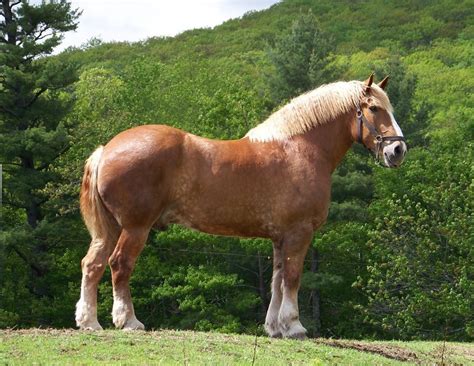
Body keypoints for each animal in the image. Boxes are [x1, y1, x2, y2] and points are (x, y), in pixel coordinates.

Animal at [75, 75, 408, 340]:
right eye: (374, 108)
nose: (398, 149)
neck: (300, 149)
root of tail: (106, 149)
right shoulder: (298, 233)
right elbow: (293, 277)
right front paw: (294, 326)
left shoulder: (280, 237)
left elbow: (277, 281)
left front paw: (274, 328)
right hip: (136, 227)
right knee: (119, 264)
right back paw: (128, 321)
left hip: (110, 229)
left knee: (92, 265)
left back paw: (89, 322)